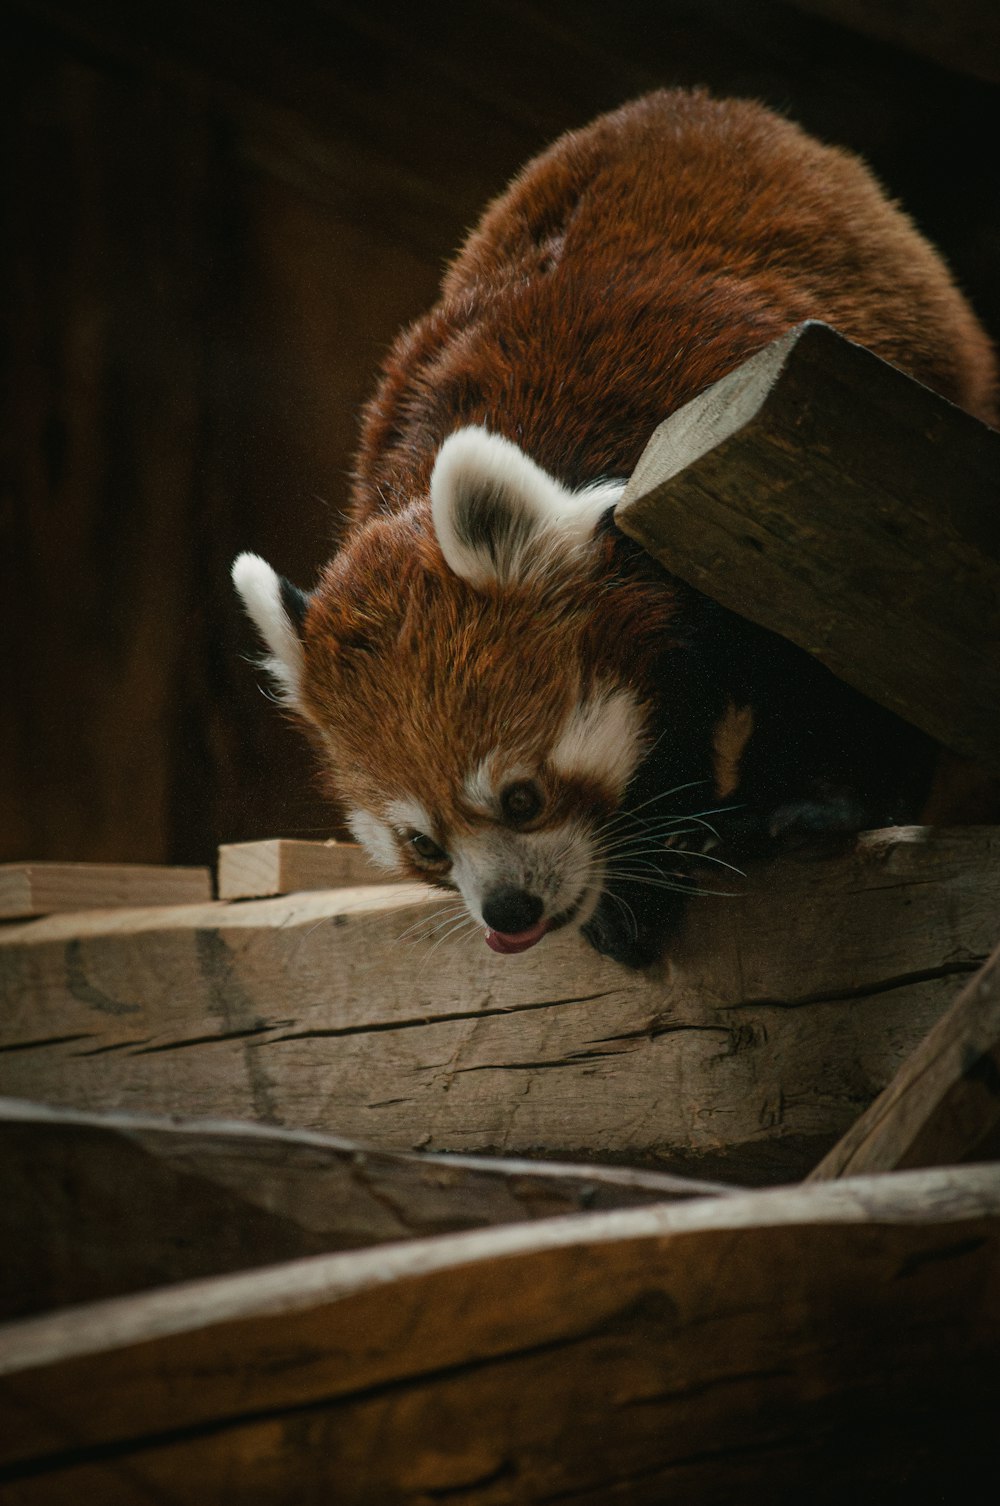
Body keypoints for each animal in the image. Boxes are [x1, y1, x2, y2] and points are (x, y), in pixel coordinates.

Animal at [231, 91, 993, 963]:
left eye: (520, 798)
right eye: (423, 842)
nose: (508, 910)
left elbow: (823, 654)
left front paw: (808, 801)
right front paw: (637, 881)